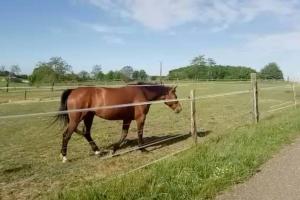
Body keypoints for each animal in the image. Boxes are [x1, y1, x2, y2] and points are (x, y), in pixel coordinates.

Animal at [55, 83, 183, 162]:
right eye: (175, 96)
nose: (179, 109)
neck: (143, 92)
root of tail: (73, 91)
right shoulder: (140, 118)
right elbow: (139, 134)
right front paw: (143, 149)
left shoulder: (127, 119)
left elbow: (123, 135)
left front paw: (113, 150)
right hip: (76, 119)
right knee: (66, 135)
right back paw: (64, 157)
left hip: (88, 117)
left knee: (86, 133)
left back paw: (97, 151)